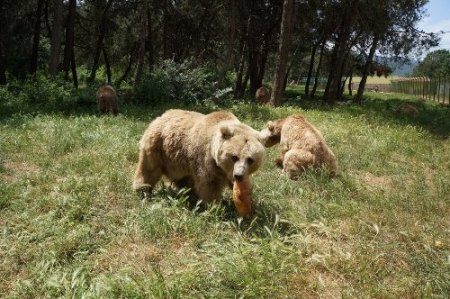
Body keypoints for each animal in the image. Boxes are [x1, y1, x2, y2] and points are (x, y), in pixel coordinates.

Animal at [134, 110, 268, 209]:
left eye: (250, 159)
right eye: (234, 157)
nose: (238, 175)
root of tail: (160, 116)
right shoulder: (206, 160)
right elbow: (210, 184)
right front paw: (215, 206)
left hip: (179, 160)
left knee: (182, 178)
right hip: (157, 147)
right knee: (149, 169)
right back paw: (143, 190)